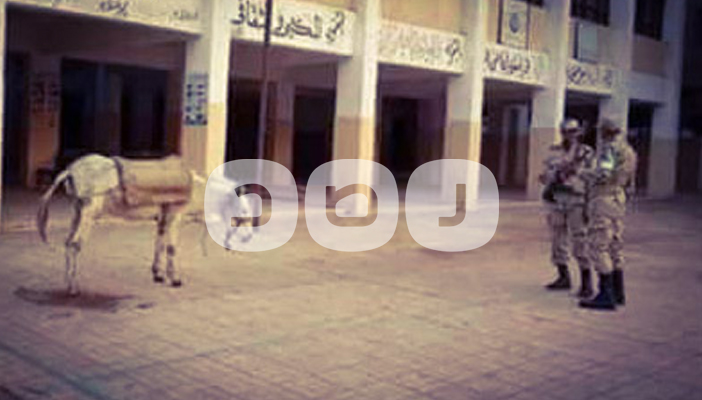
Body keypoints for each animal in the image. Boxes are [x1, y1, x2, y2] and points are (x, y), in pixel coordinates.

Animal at [37, 154, 254, 295]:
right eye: (243, 211)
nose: (249, 237)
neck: (197, 190)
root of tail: (70, 170)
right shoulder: (175, 215)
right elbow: (171, 247)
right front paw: (175, 279)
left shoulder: (163, 218)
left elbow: (159, 244)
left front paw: (157, 274)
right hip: (89, 211)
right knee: (75, 244)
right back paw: (73, 287)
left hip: (78, 210)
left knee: (67, 242)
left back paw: (68, 283)